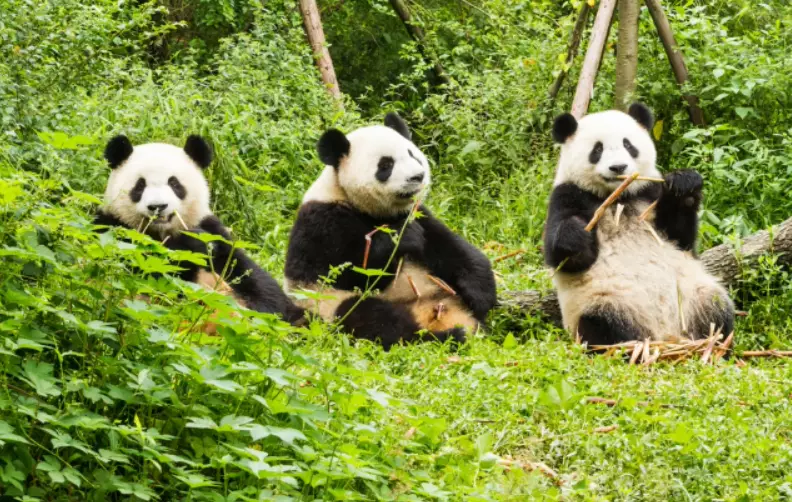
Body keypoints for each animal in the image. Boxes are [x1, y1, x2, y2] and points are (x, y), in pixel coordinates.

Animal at [94, 134, 305, 325]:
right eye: (140, 186)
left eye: (174, 183)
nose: (158, 206)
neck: (162, 232)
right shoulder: (113, 227)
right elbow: (147, 269)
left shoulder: (212, 229)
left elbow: (248, 274)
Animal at [284, 113, 497, 349]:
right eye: (386, 165)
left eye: (412, 154)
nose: (418, 176)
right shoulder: (322, 222)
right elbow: (346, 272)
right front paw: (402, 237)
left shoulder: (417, 213)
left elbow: (451, 248)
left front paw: (480, 296)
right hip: (327, 305)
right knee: (371, 318)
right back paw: (442, 337)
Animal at [544, 103, 734, 345]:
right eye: (597, 150)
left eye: (628, 144)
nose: (618, 167)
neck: (619, 197)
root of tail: (667, 336)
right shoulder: (568, 195)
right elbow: (566, 258)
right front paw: (575, 236)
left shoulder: (649, 193)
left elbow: (680, 237)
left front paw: (684, 185)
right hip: (605, 301)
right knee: (603, 325)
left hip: (694, 296)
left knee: (717, 310)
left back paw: (714, 341)